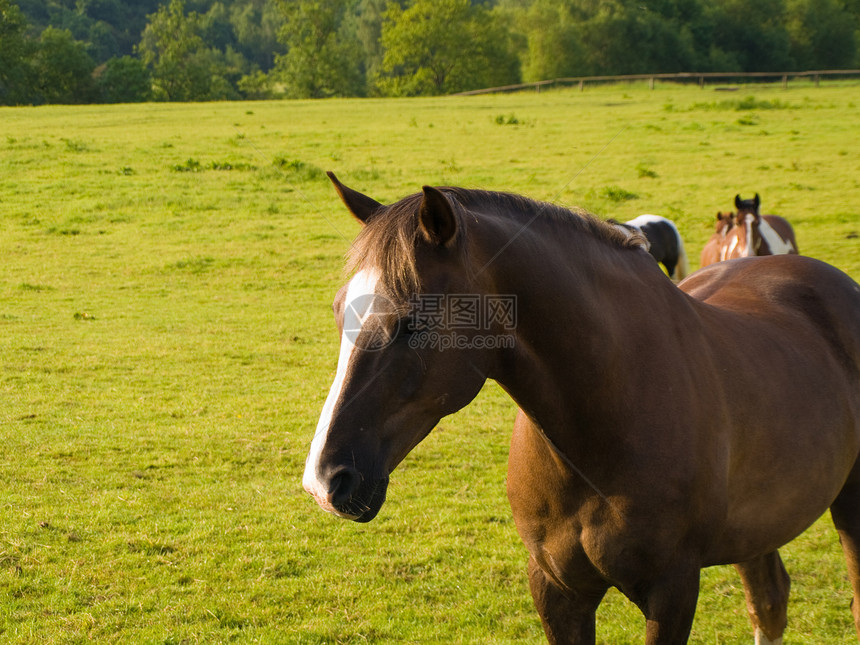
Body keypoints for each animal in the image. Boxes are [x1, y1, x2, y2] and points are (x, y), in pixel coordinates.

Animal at [302, 175, 860, 644]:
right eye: (337, 311)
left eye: (412, 321)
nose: (323, 482)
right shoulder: (556, 589)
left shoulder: (673, 591)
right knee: (769, 603)